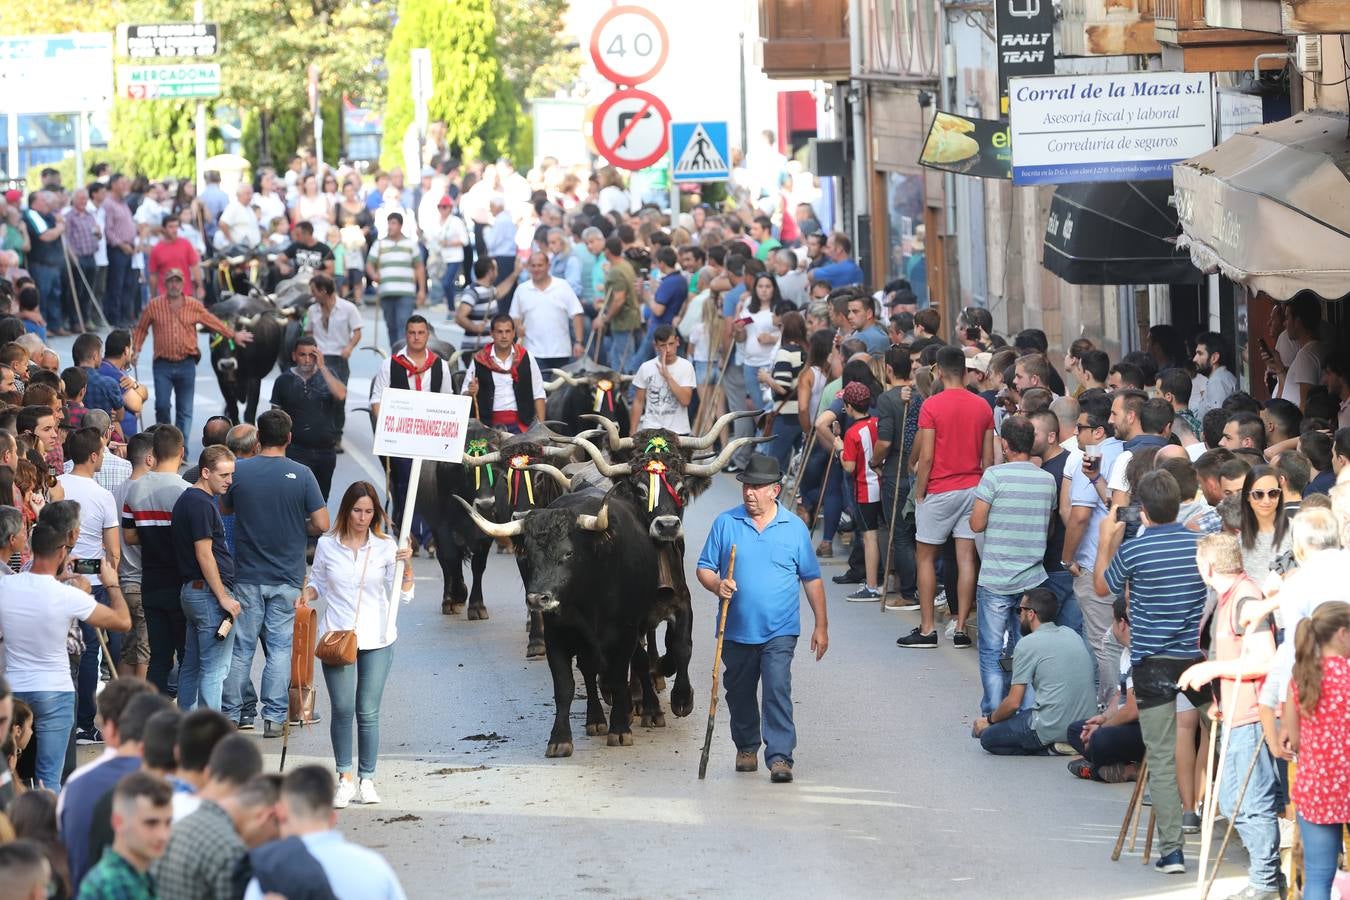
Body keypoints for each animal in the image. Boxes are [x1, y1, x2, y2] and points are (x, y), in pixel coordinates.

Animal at [459, 488, 658, 755]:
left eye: (568, 552)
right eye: (529, 555)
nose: (537, 598)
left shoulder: (625, 634)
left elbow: (618, 677)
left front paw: (619, 730)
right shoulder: (556, 638)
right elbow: (564, 686)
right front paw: (559, 739)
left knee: (640, 661)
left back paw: (651, 710)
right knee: (589, 672)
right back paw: (595, 720)